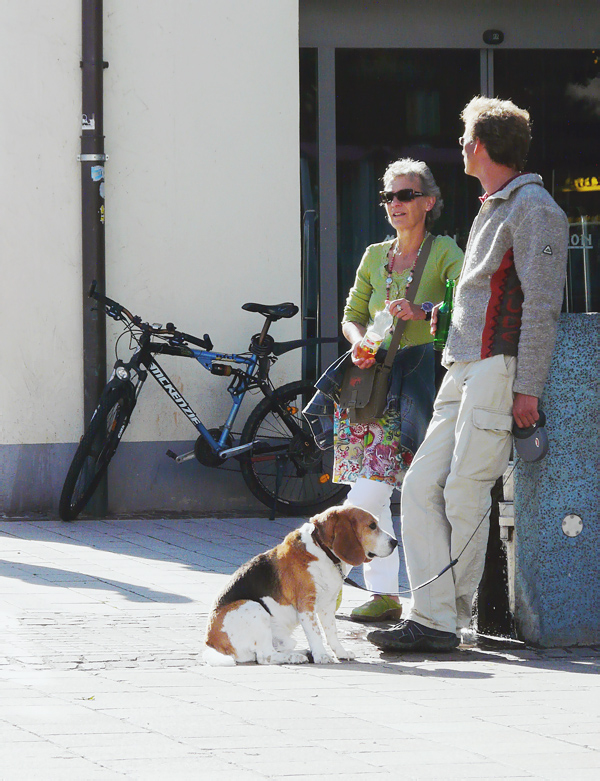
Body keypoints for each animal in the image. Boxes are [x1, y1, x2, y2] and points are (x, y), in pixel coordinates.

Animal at [204, 506, 396, 664]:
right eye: (372, 526)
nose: (395, 542)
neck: (322, 550)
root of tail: (211, 644)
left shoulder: (328, 604)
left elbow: (331, 632)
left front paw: (340, 653)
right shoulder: (306, 605)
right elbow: (315, 632)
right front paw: (322, 655)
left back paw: (303, 652)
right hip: (253, 607)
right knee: (266, 657)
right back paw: (295, 657)